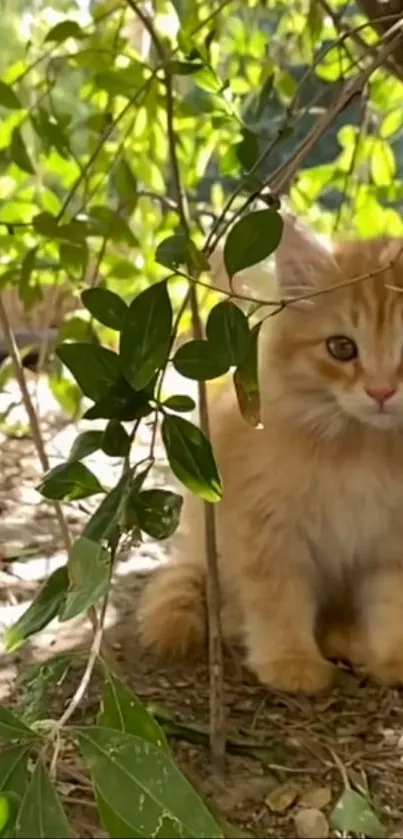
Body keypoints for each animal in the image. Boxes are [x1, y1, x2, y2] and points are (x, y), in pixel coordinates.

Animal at [138, 212, 403, 696]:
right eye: (342, 348)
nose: (380, 392)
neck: (362, 448)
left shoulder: (393, 541)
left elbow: (391, 602)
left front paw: (392, 657)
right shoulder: (267, 527)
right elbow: (278, 599)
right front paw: (290, 661)